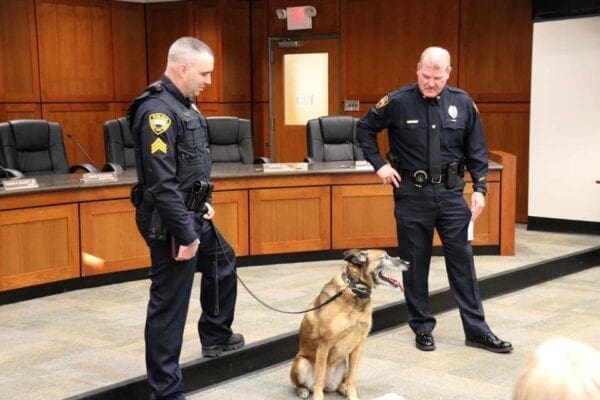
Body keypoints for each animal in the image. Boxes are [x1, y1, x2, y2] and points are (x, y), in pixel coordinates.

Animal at [290, 248, 408, 398]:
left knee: (341, 383)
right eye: (385, 257)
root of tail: (328, 387)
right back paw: (303, 390)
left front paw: (352, 396)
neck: (354, 290)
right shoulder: (323, 345)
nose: (408, 263)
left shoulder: (359, 345)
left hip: (343, 364)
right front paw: (318, 397)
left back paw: (343, 389)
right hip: (301, 363)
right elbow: (319, 378)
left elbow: (352, 378)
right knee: (304, 384)